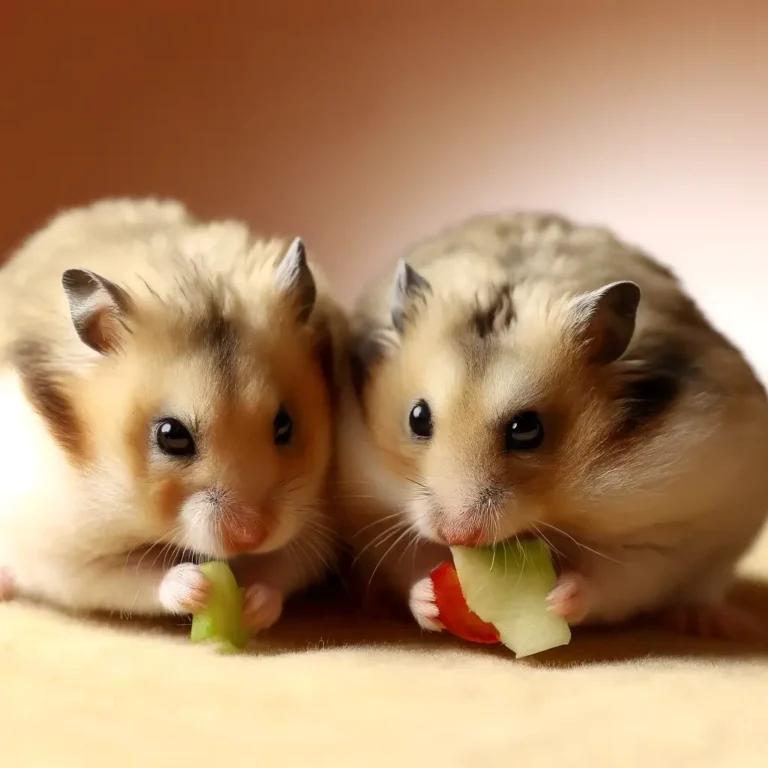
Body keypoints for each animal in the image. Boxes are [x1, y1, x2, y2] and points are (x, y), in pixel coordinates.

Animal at [0, 200, 344, 636]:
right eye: (171, 435)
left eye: (285, 425)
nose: (249, 536)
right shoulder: (61, 552)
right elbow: (125, 578)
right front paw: (195, 586)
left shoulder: (314, 523)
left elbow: (282, 567)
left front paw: (253, 605)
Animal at [340, 210, 768, 636]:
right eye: (418, 418)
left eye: (526, 429)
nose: (457, 535)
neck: (554, 511)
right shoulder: (374, 515)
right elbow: (406, 563)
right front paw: (428, 599)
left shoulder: (664, 527)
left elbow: (617, 576)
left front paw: (557, 599)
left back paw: (715, 622)